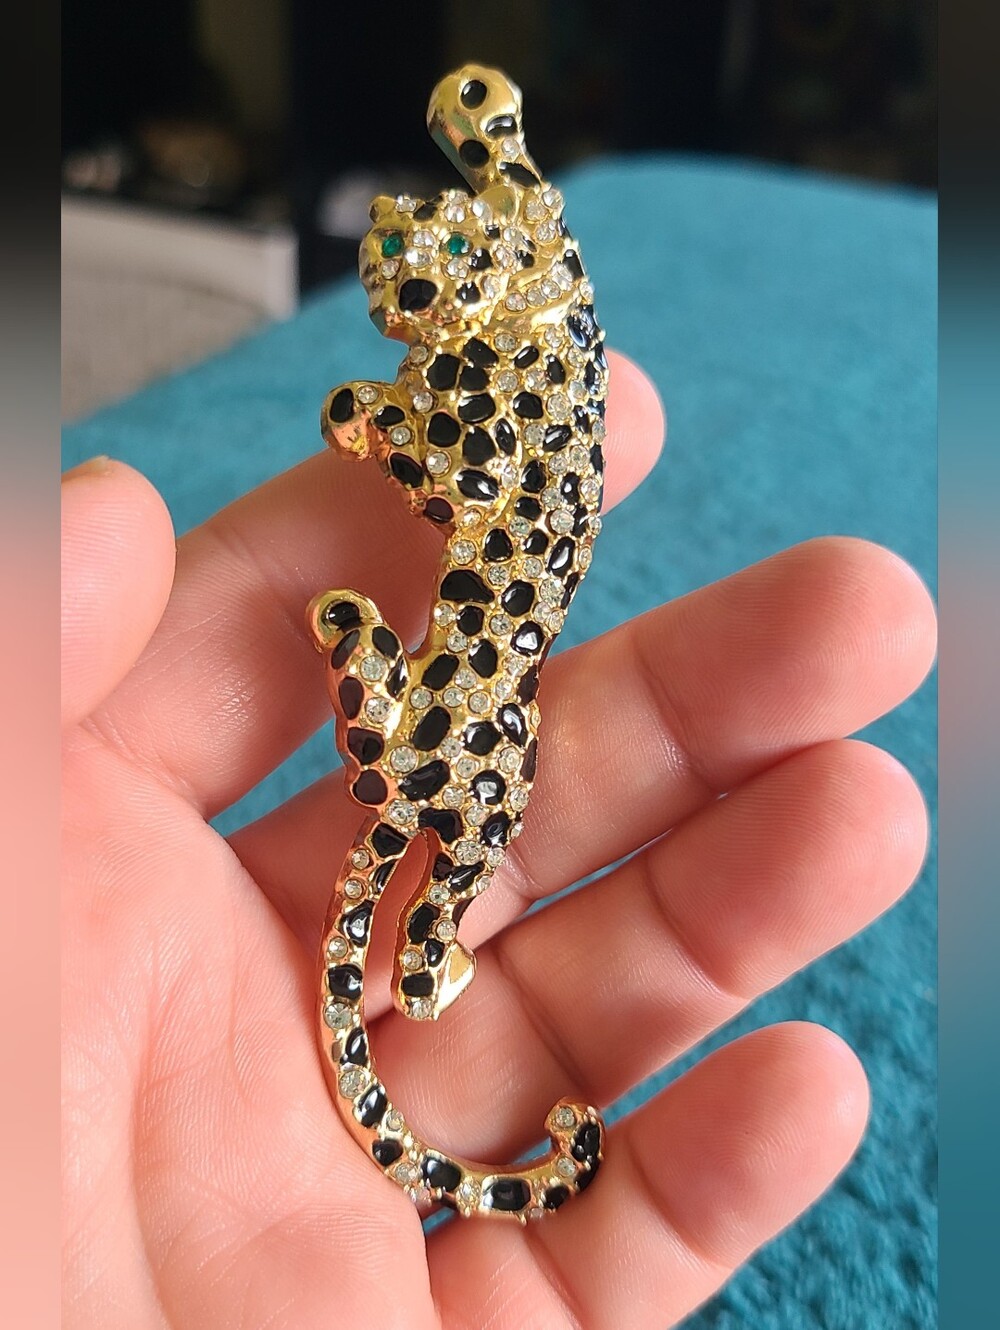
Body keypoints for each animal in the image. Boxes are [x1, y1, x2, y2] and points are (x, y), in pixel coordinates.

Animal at [308, 64, 608, 1221]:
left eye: (468, 259)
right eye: (396, 244)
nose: (416, 293)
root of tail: (414, 788)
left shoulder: (473, 462)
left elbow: (422, 443)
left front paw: (361, 405)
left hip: (492, 810)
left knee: (421, 957)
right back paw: (346, 633)